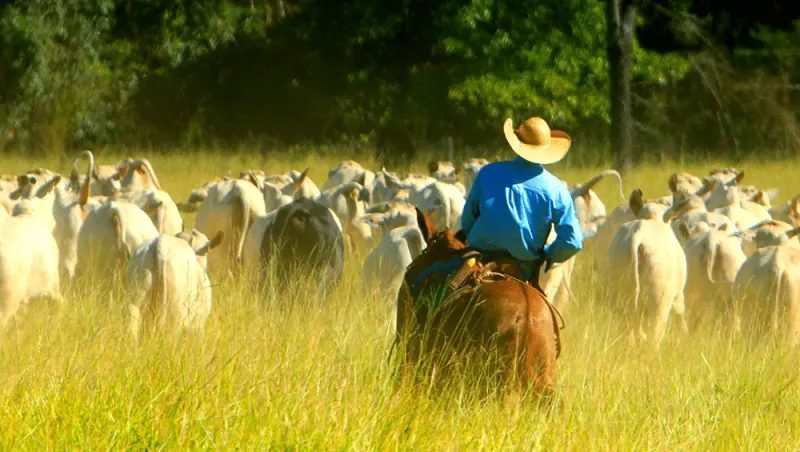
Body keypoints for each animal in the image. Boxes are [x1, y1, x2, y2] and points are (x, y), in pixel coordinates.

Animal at [608, 190, 688, 346]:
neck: (654, 219)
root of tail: (637, 238)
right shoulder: (678, 295)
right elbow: (681, 316)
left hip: (618, 296)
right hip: (659, 303)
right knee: (655, 336)